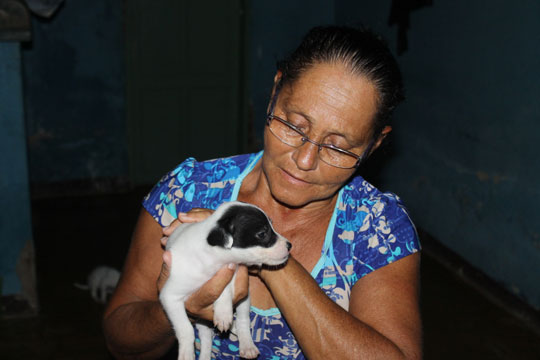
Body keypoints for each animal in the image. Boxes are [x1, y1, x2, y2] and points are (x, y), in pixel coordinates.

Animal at [158, 201, 292, 360]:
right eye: (262, 233)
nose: (289, 245)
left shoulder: (231, 270)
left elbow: (225, 288)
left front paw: (223, 313)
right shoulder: (170, 296)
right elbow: (186, 329)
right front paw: (187, 353)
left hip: (244, 300)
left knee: (242, 321)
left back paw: (247, 345)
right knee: (206, 338)